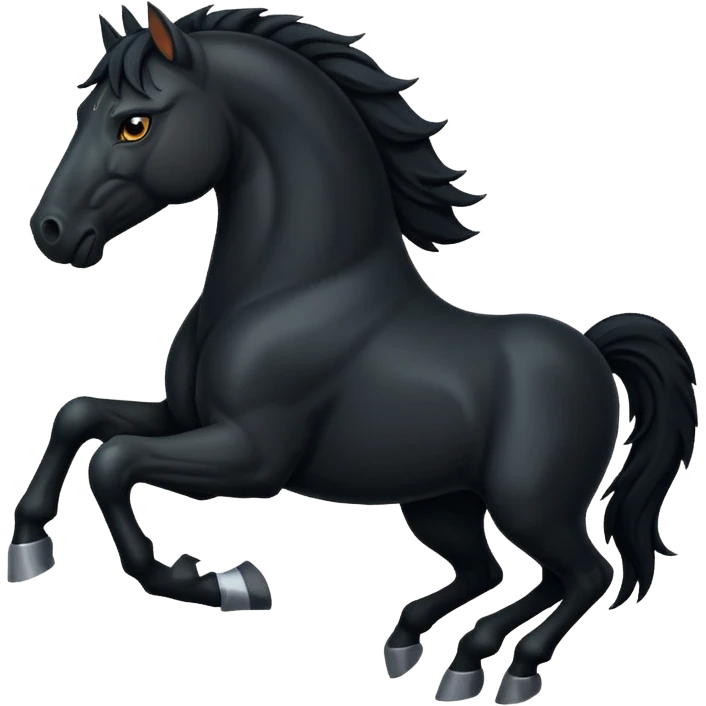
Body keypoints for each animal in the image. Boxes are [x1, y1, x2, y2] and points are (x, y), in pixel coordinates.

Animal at [12, 4, 697, 704]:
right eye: (84, 112)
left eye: (135, 123)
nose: (51, 231)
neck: (296, 286)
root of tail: (592, 347)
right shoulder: (186, 419)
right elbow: (80, 417)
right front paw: (29, 545)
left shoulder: (252, 457)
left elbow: (114, 463)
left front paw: (226, 584)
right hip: (441, 503)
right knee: (494, 573)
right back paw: (426, 651)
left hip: (531, 505)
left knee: (583, 575)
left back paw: (509, 670)